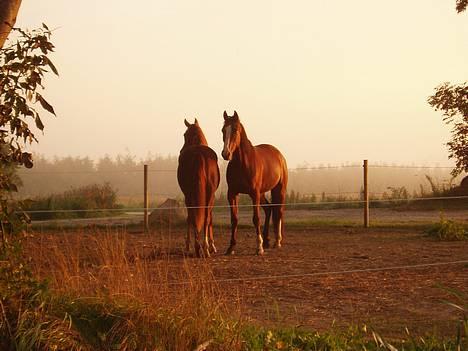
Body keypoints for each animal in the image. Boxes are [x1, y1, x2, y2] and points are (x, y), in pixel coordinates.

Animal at [177, 119, 221, 258]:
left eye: (185, 135)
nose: (181, 151)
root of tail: (198, 155)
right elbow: (209, 218)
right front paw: (212, 246)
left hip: (190, 195)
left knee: (193, 216)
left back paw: (198, 247)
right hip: (207, 195)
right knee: (204, 218)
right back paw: (203, 248)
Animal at [221, 110, 288, 256]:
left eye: (235, 130)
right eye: (223, 130)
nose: (225, 154)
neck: (243, 163)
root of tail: (279, 155)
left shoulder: (253, 194)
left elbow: (256, 218)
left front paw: (259, 247)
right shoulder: (232, 194)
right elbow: (234, 219)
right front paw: (231, 247)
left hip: (278, 190)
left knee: (279, 211)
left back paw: (277, 241)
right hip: (262, 193)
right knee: (269, 209)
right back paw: (267, 240)